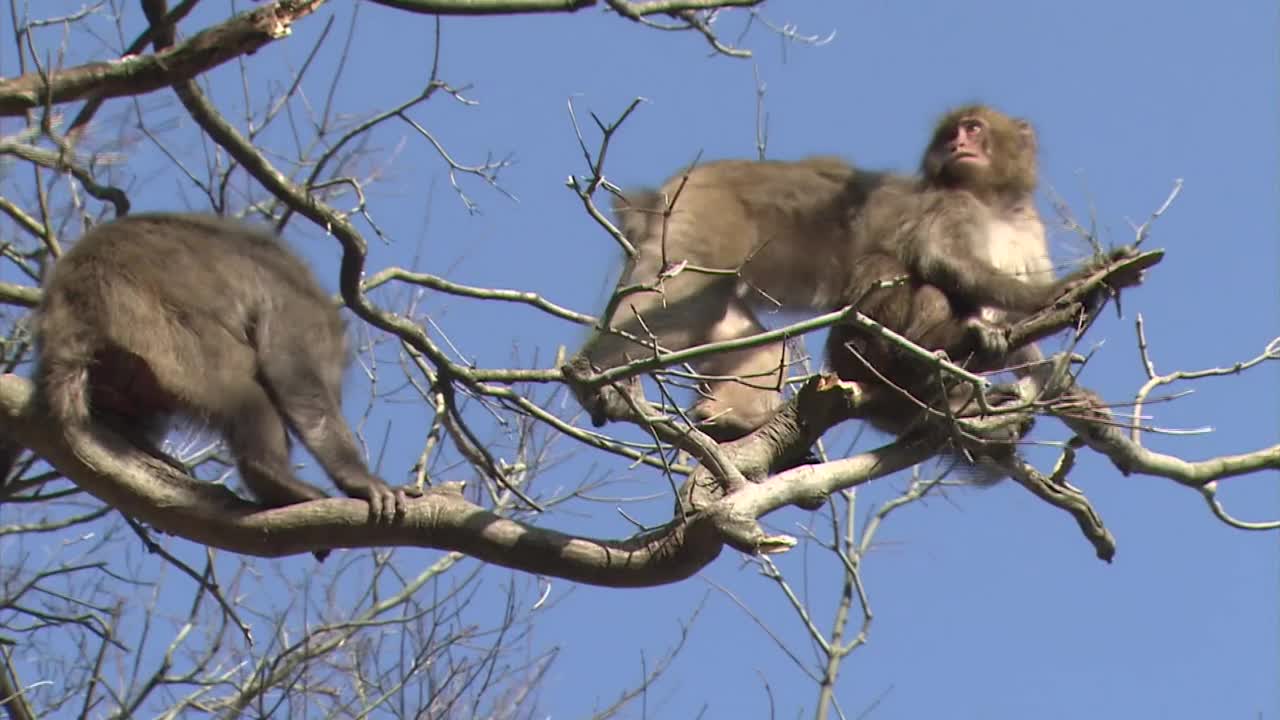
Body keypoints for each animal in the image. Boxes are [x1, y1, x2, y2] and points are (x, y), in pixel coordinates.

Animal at [8, 212, 409, 527]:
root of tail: (74, 307)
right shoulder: (293, 302)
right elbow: (293, 374)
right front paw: (356, 477)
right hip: (163, 341)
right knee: (243, 387)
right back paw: (271, 475)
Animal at [573, 103, 1131, 445]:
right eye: (950, 133)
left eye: (973, 128)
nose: (957, 145)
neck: (995, 202)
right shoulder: (947, 206)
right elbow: (943, 264)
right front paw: (1063, 290)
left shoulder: (1027, 228)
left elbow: (1017, 331)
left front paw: (1072, 395)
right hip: (707, 215)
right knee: (676, 299)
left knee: (733, 326)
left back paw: (735, 417)